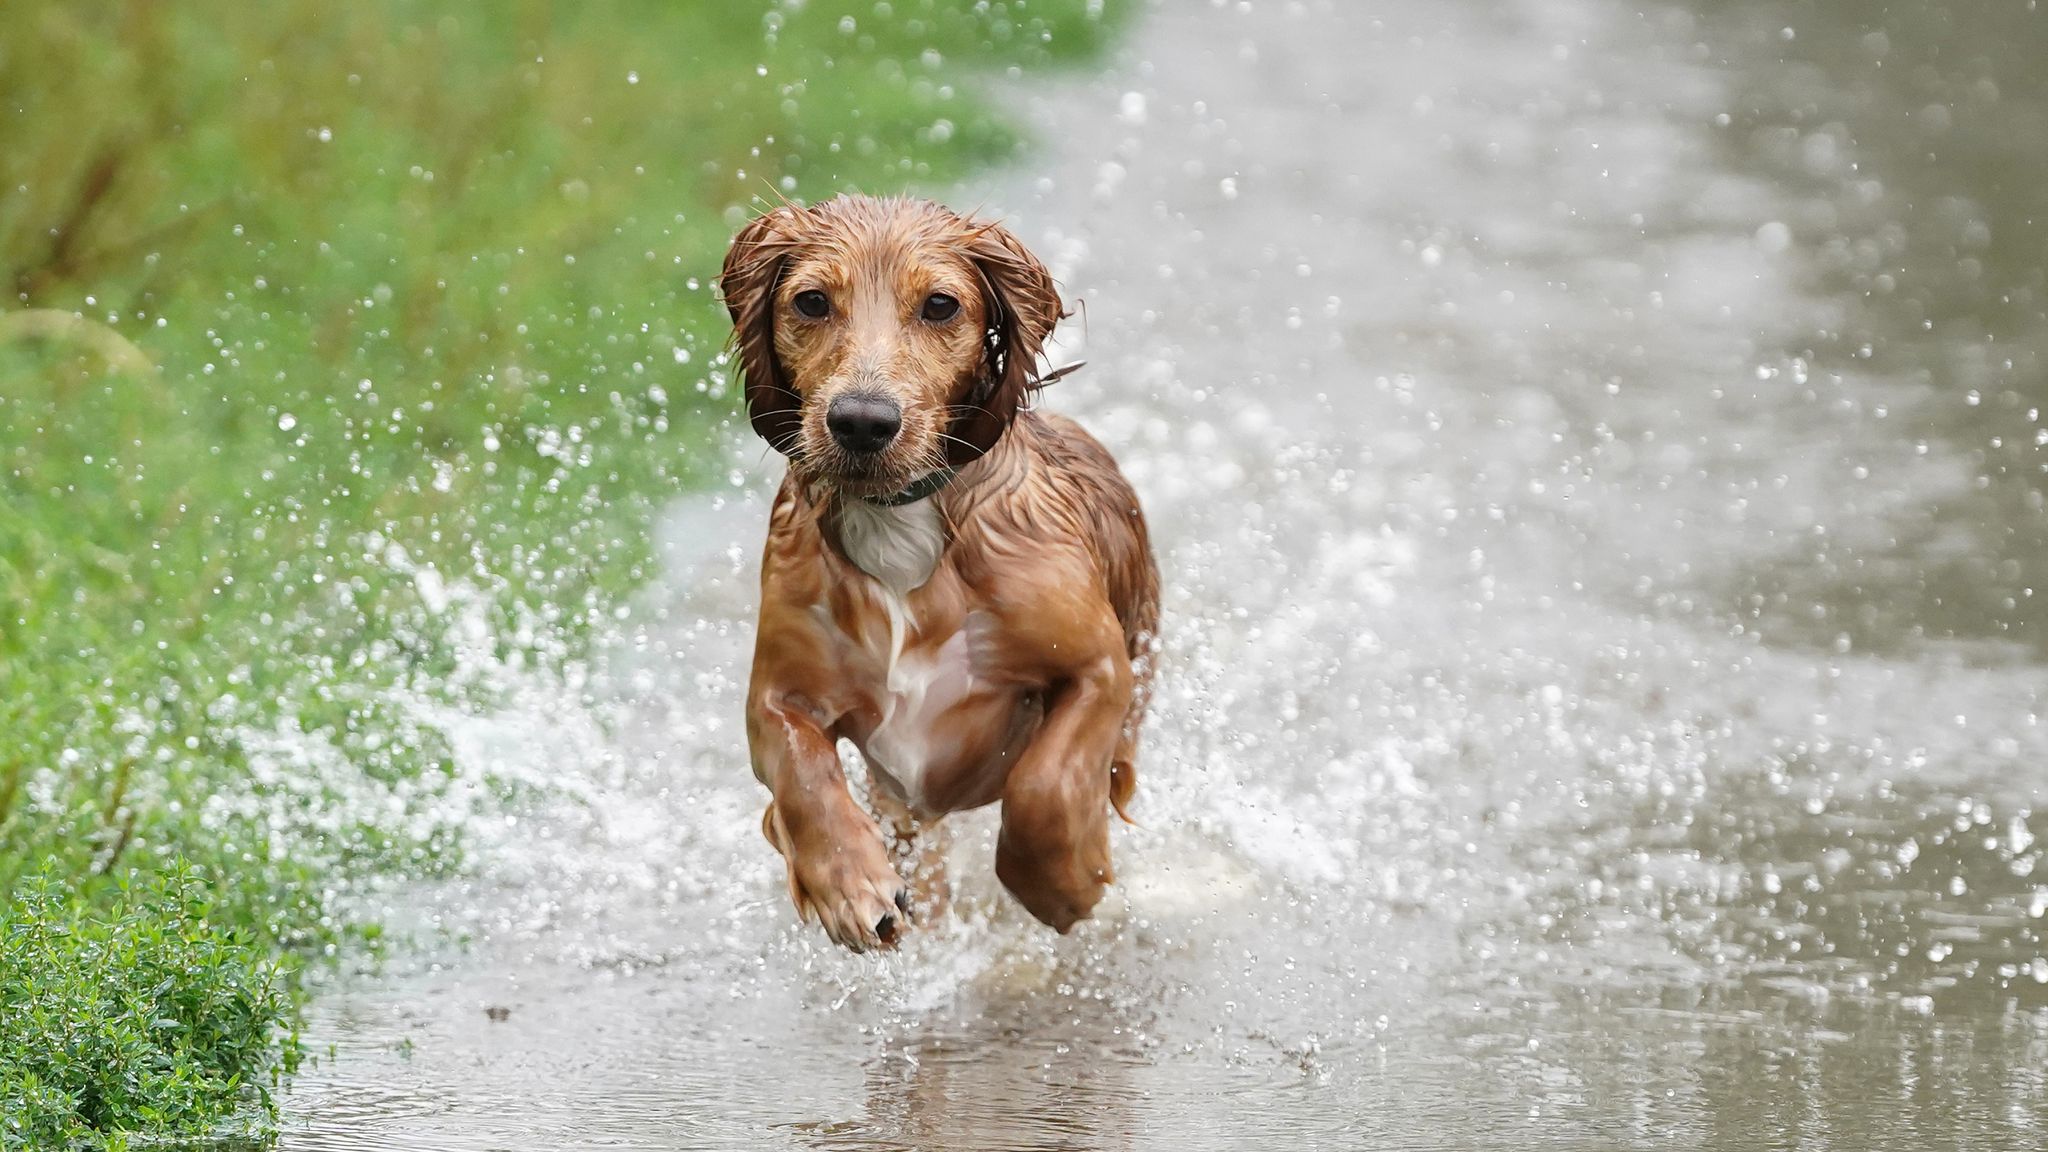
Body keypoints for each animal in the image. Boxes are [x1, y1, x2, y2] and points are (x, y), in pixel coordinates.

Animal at [724, 194, 1163, 951]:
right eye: (810, 301)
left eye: (939, 305)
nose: (861, 421)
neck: (900, 523)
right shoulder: (779, 692)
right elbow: (800, 771)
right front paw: (850, 887)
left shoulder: (1100, 665)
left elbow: (1045, 787)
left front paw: (1066, 886)